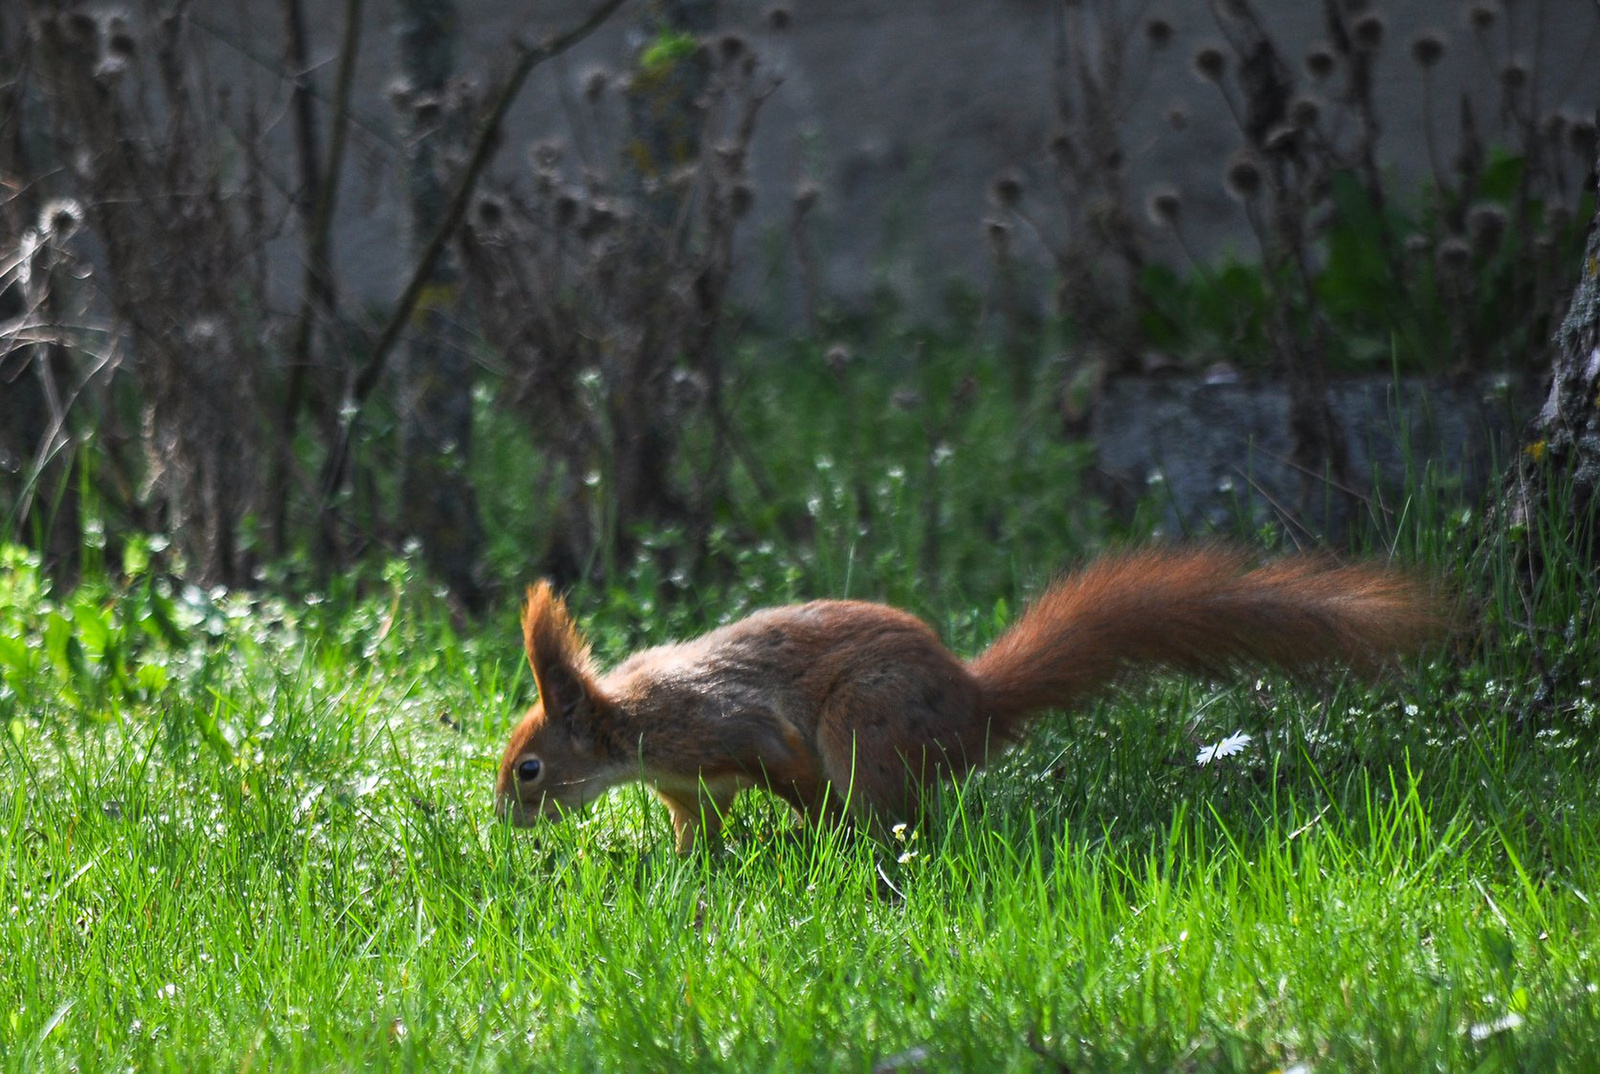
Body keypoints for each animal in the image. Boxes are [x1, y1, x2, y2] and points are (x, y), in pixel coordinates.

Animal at [492, 547, 1446, 851]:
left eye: (530, 769)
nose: (502, 818)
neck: (628, 723)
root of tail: (975, 705)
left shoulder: (724, 726)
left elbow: (788, 771)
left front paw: (811, 838)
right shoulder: (687, 786)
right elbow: (701, 830)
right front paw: (689, 869)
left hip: (867, 727)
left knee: (888, 807)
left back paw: (857, 848)